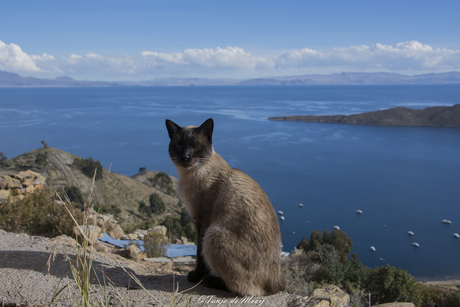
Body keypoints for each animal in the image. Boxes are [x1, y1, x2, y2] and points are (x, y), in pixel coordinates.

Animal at [165, 118, 284, 298]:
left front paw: (195, 277)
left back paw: (208, 280)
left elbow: (199, 254)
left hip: (214, 235)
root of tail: (277, 283)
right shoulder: (199, 220)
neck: (191, 173)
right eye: (179, 145)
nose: (185, 156)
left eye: (196, 146)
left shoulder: (202, 221)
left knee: (245, 290)